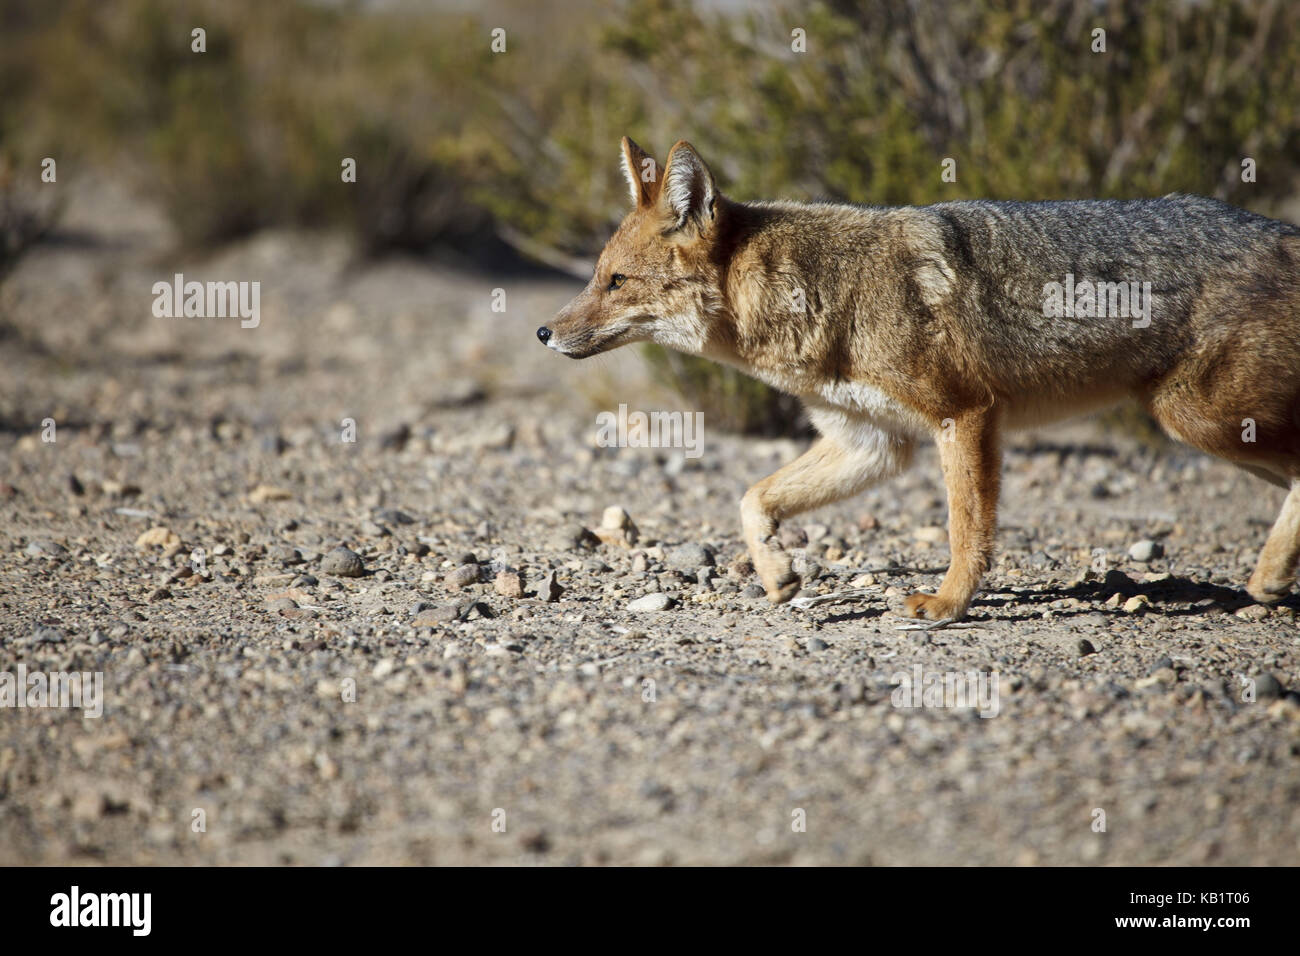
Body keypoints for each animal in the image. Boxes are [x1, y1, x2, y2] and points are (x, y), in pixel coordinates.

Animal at [539, 136, 1300, 621]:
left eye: (614, 281)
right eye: (594, 275)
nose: (543, 332)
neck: (822, 287)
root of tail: (1281, 229)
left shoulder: (965, 414)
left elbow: (968, 531)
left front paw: (948, 604)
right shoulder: (873, 443)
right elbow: (753, 498)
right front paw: (778, 573)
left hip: (1198, 421)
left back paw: (1268, 578)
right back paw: (1272, 579)